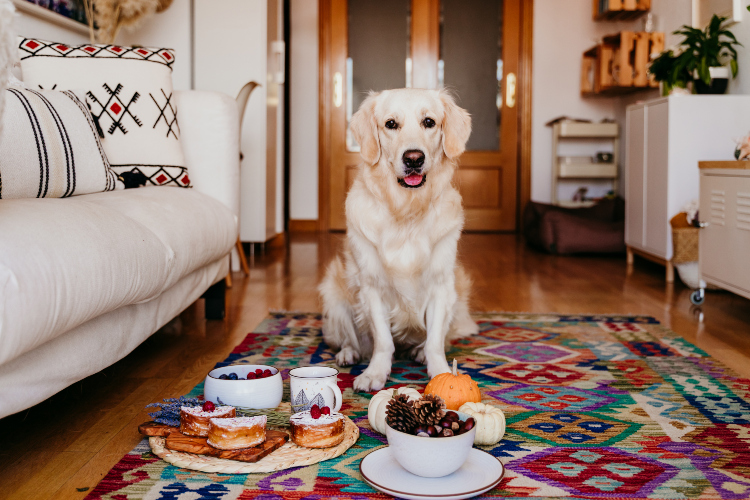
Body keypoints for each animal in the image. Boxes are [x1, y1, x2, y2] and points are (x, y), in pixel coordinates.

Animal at [320, 89, 478, 390]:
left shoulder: (441, 286)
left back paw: (417, 352)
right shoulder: (371, 286)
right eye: (391, 124)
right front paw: (374, 373)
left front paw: (440, 372)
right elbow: (382, 341)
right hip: (334, 296)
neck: (406, 211)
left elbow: (435, 342)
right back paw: (348, 353)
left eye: (429, 122)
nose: (414, 158)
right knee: (350, 338)